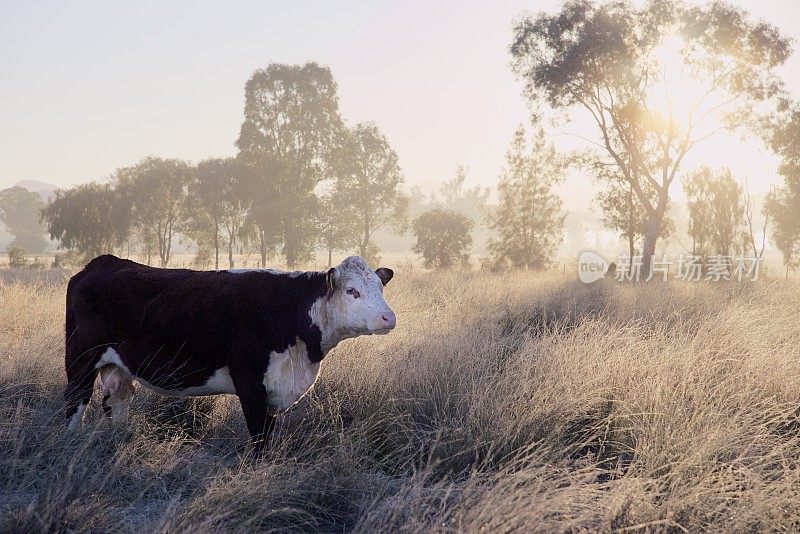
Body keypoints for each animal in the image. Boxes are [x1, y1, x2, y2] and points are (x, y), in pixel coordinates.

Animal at [64, 255, 396, 456]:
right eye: (352, 291)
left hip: (117, 369)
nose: (388, 318)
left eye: (380, 288)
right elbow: (260, 438)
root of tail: (102, 263)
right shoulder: (250, 382)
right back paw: (70, 443)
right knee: (76, 403)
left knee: (115, 403)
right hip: (80, 360)